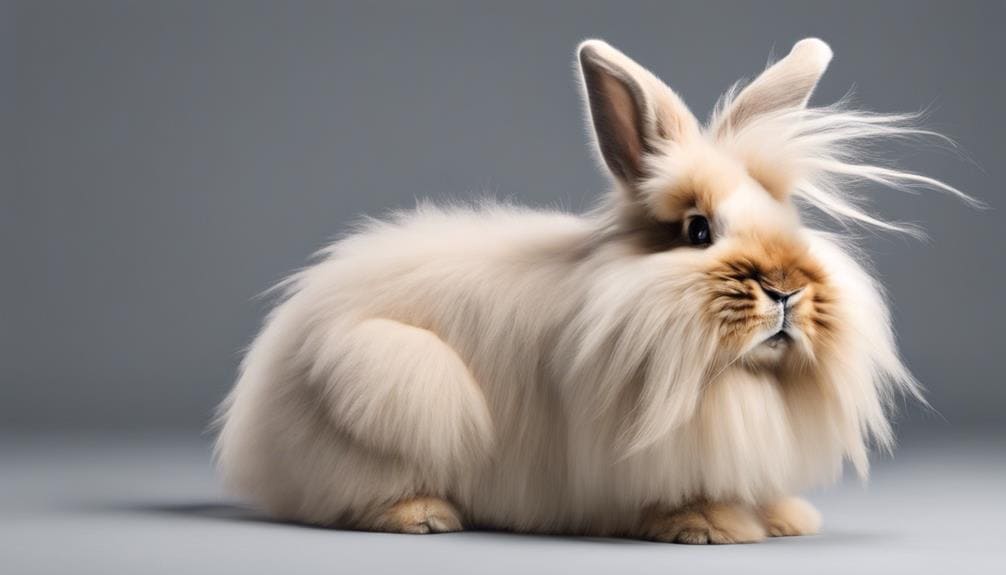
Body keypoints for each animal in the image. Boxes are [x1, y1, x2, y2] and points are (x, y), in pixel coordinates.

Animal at [214, 38, 972, 543]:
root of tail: (253, 423)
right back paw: (424, 515)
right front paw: (708, 526)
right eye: (697, 230)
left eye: (789, 221)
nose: (784, 287)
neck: (731, 379)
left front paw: (786, 519)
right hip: (386, 377)